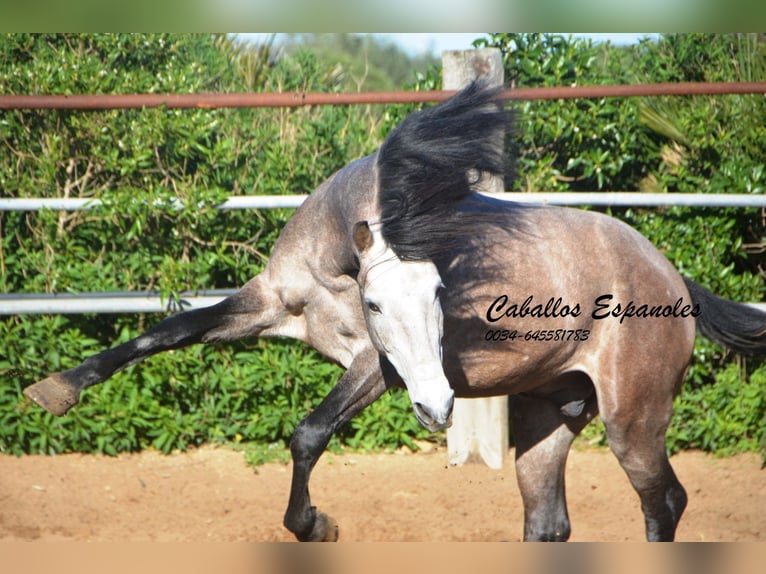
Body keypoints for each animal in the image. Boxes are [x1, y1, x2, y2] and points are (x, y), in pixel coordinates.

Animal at [24, 83, 766, 544]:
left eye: (440, 296)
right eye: (378, 300)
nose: (438, 409)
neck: (336, 265)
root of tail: (672, 277)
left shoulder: (374, 365)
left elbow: (308, 434)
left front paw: (317, 525)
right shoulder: (269, 303)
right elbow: (164, 332)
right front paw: (57, 389)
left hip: (633, 421)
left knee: (664, 504)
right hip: (549, 416)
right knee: (549, 523)